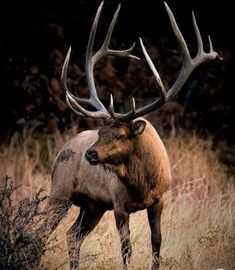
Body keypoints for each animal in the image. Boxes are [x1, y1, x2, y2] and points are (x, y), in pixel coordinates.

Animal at [43, 1, 218, 268]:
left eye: (120, 135)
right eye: (100, 132)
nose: (90, 154)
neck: (142, 184)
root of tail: (60, 152)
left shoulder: (159, 200)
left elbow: (157, 242)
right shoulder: (118, 204)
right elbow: (126, 249)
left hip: (93, 206)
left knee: (72, 235)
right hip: (60, 192)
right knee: (43, 231)